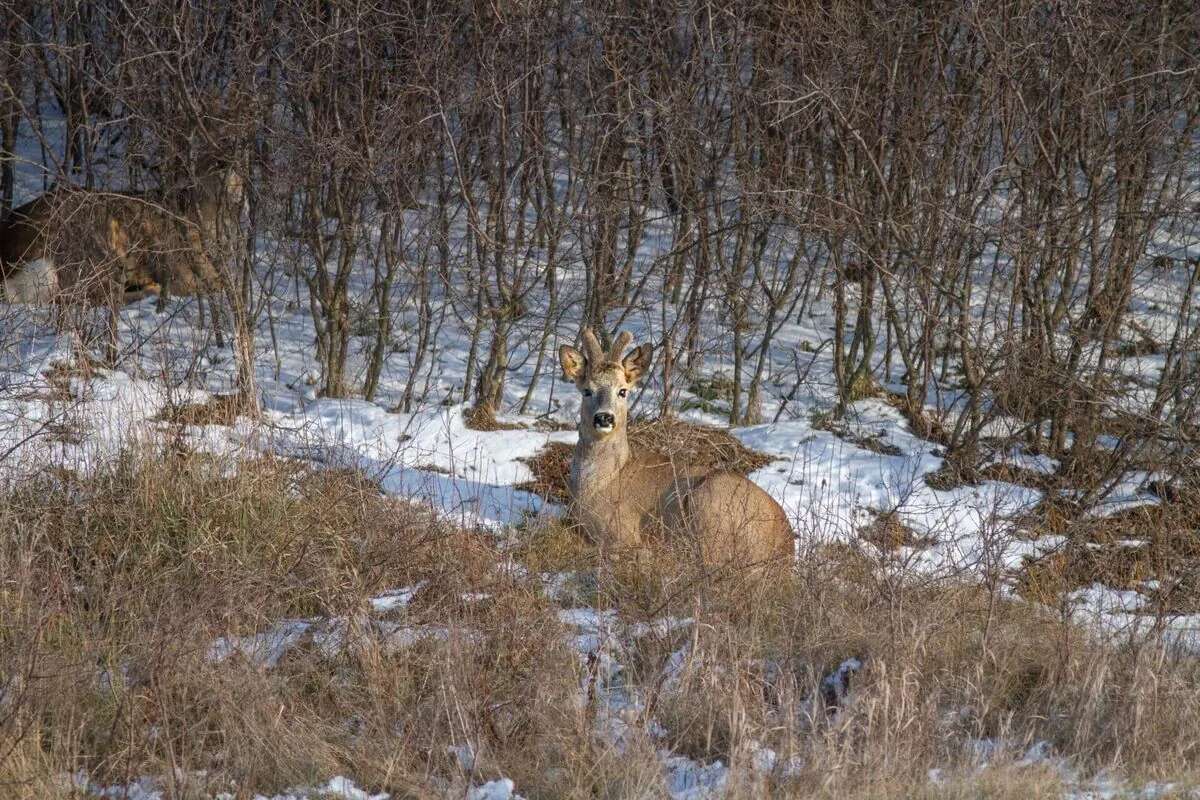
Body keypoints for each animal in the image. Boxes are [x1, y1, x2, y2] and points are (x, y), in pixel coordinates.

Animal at [561, 328, 796, 573]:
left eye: (622, 391)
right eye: (587, 391)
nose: (604, 417)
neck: (601, 481)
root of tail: (785, 550)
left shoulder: (623, 531)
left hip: (710, 502)